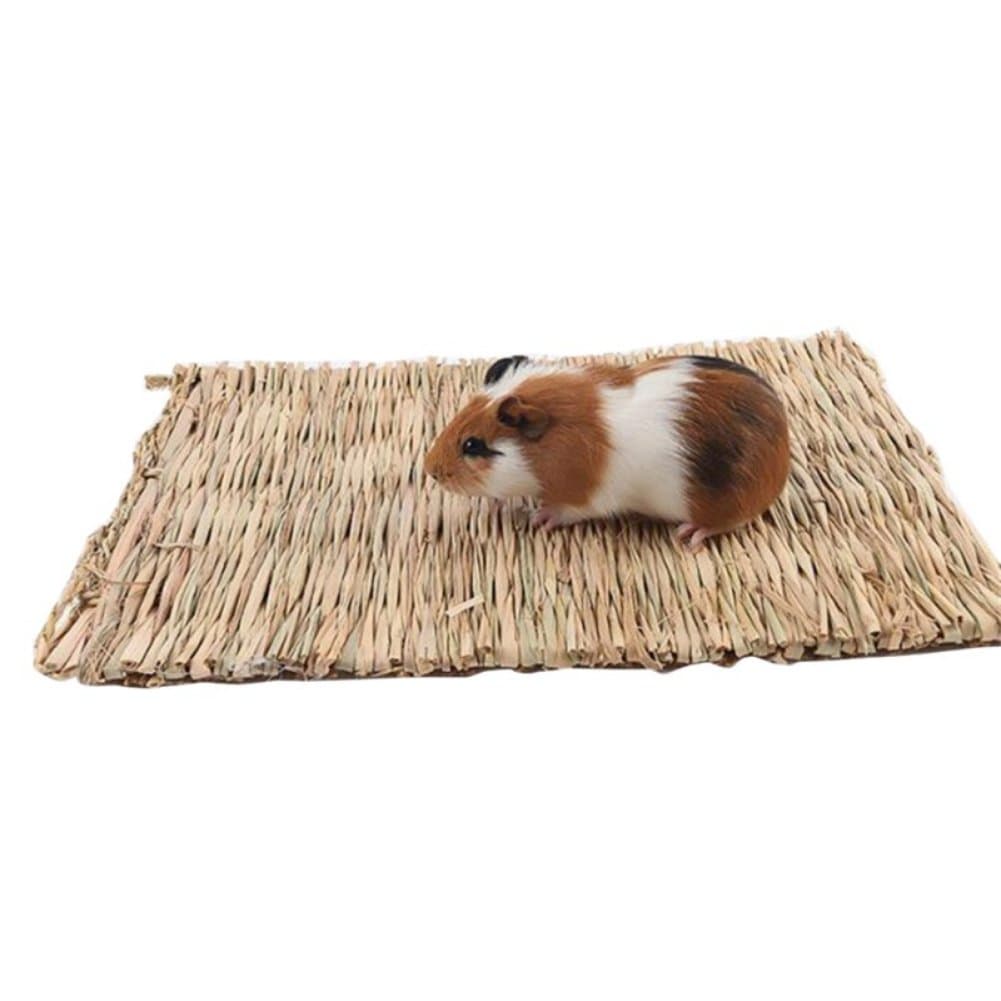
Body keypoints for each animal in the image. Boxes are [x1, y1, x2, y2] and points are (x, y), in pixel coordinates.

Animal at [424, 354, 790, 550]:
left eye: (472, 445)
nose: (431, 470)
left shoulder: (585, 498)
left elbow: (563, 510)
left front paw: (538, 518)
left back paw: (688, 534)